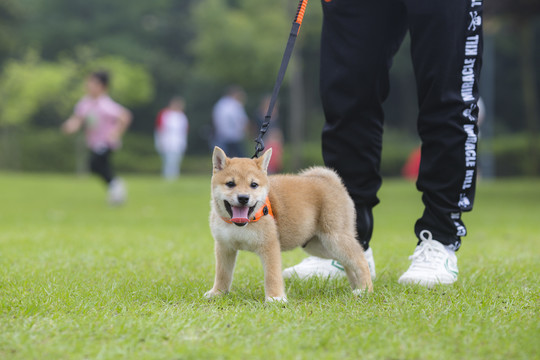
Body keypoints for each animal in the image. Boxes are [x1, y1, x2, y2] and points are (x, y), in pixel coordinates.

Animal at [205, 146, 374, 300]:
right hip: (319, 245)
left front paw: (275, 298)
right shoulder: (224, 247)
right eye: (230, 183)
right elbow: (222, 274)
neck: (241, 224)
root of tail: (332, 182)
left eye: (253, 185)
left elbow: (272, 275)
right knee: (345, 261)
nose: (243, 198)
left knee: (360, 260)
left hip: (335, 238)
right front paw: (217, 293)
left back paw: (365, 289)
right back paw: (355, 285)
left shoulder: (270, 246)